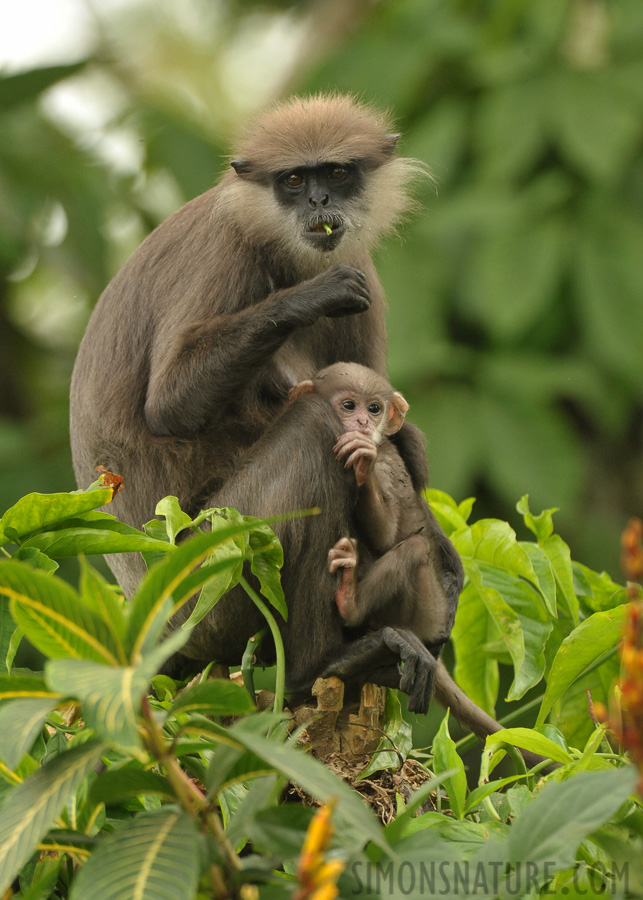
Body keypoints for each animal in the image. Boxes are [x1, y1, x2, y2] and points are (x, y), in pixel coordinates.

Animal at [288, 362, 462, 656]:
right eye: (349, 405)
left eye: (374, 409)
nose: (364, 423)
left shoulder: (385, 466)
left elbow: (385, 536)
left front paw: (364, 466)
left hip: (428, 613)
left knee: (415, 548)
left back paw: (350, 604)